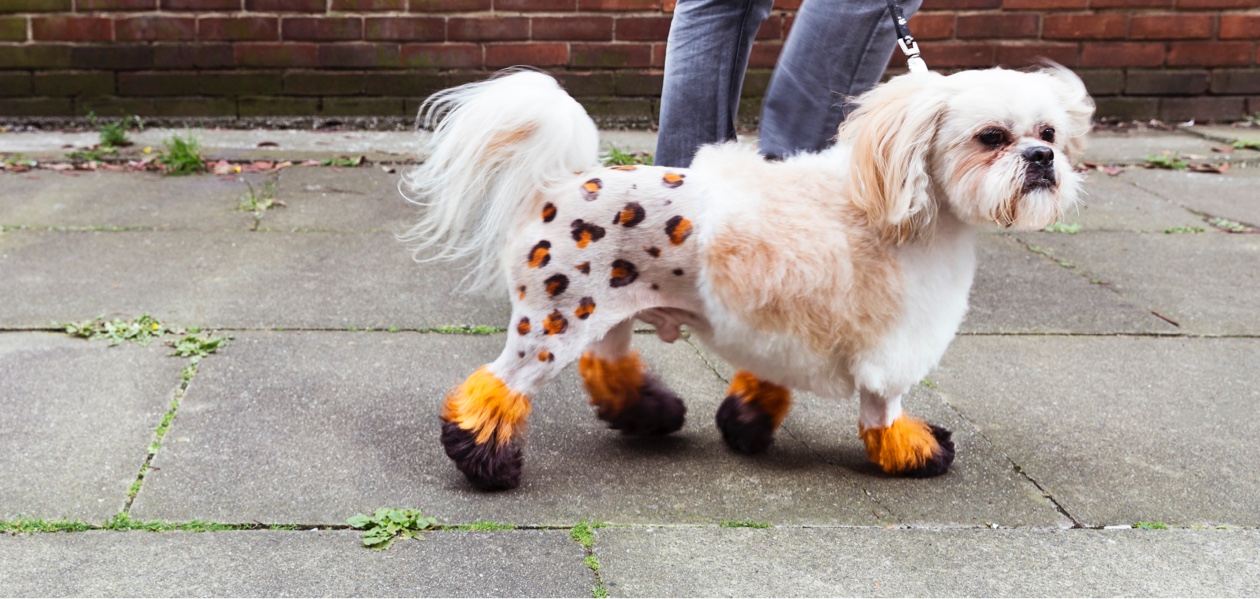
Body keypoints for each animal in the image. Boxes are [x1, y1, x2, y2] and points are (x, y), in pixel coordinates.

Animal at [400, 66, 1093, 491]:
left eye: (1049, 132)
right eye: (991, 136)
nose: (1042, 157)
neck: (898, 205)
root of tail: (558, 182)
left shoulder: (781, 328)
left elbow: (766, 380)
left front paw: (747, 423)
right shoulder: (890, 344)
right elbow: (884, 409)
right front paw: (914, 451)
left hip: (608, 313)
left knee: (606, 365)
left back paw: (650, 414)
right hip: (554, 323)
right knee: (499, 386)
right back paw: (486, 464)